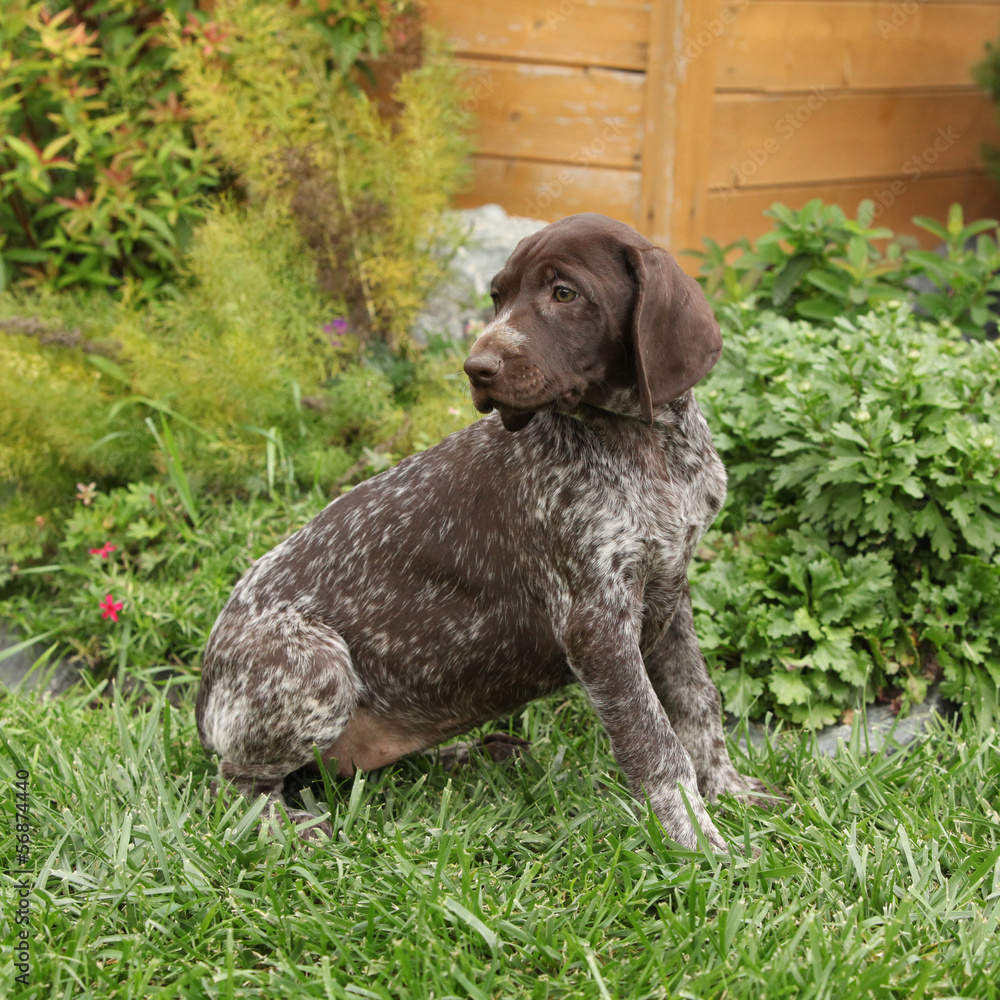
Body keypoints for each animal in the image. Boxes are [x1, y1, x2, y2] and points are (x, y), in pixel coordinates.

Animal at [197, 211, 772, 852]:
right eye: (497, 297)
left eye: (564, 293)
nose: (477, 369)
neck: (644, 445)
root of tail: (203, 690)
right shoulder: (596, 624)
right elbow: (655, 741)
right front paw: (695, 838)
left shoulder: (670, 589)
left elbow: (698, 700)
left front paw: (728, 789)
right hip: (316, 667)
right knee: (235, 784)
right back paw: (290, 828)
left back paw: (475, 755)